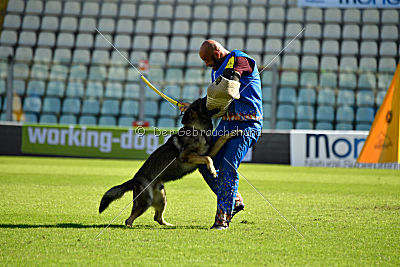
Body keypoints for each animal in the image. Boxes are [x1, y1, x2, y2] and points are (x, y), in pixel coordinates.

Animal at [99, 98, 241, 228]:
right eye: (202, 101)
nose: (208, 95)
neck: (197, 129)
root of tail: (134, 179)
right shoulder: (186, 155)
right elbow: (207, 158)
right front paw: (212, 170)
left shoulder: (210, 151)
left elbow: (221, 139)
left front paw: (236, 132)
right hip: (146, 201)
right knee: (129, 219)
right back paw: (129, 226)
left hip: (162, 199)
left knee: (157, 218)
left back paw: (169, 225)